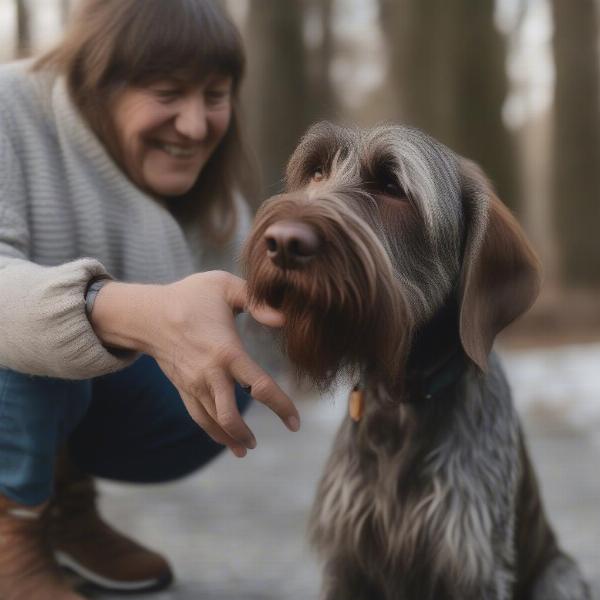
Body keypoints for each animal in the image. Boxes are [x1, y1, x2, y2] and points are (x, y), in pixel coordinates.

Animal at [240, 123, 592, 600]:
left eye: (392, 187)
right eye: (316, 173)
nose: (282, 243)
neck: (399, 403)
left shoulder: (472, 566)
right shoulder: (348, 563)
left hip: (560, 577)